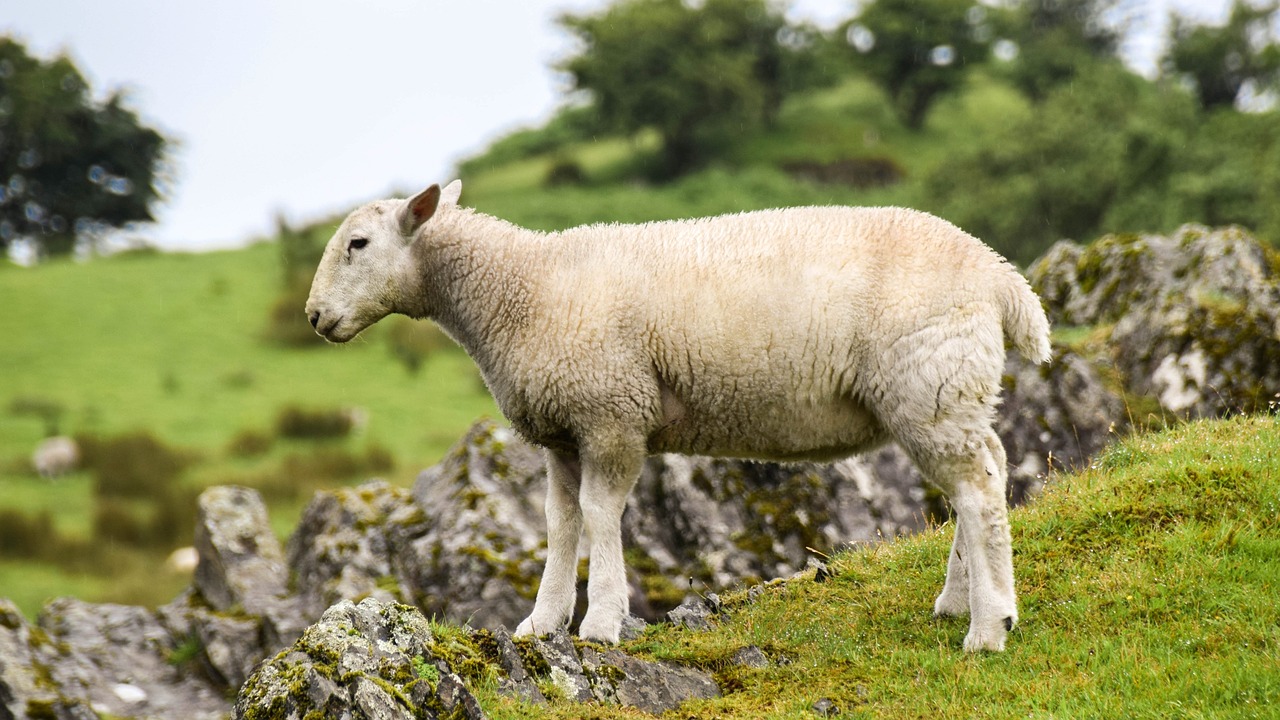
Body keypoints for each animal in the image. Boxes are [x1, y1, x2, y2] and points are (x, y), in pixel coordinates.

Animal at [307, 180, 1049, 650]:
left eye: (359, 244)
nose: (314, 317)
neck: (521, 289)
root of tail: (1001, 276)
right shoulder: (562, 430)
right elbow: (560, 522)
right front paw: (543, 622)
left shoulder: (611, 412)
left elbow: (600, 515)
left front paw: (602, 621)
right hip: (945, 392)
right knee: (981, 477)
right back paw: (958, 602)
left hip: (930, 381)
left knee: (978, 491)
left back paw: (989, 629)